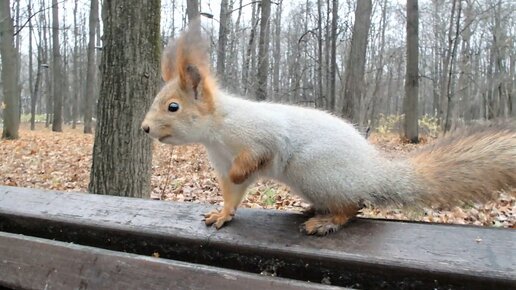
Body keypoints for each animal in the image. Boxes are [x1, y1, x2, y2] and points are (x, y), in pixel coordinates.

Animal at [141, 21, 516, 236]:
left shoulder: (259, 134)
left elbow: (257, 156)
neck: (217, 131)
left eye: (173, 107)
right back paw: (314, 210)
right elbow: (232, 192)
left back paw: (326, 221)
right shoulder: (220, 159)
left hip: (316, 172)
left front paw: (242, 172)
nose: (144, 128)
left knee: (353, 207)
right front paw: (222, 213)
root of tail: (374, 174)